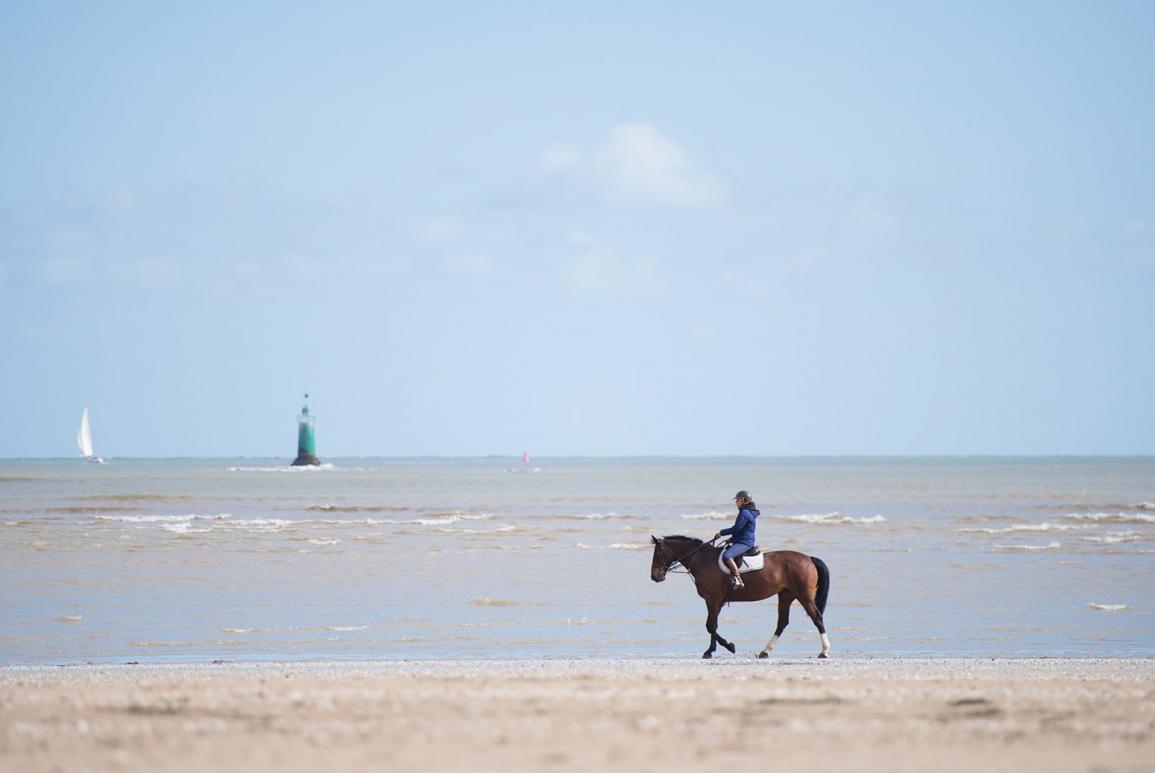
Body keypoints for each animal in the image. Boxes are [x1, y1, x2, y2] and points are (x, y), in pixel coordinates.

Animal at [651, 536, 831, 656]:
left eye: (658, 552)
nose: (654, 577)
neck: (702, 559)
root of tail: (809, 558)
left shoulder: (712, 600)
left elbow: (711, 626)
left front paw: (717, 649)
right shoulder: (717, 602)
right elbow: (711, 625)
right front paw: (723, 647)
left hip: (804, 596)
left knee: (817, 618)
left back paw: (824, 651)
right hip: (786, 595)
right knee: (782, 622)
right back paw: (765, 651)